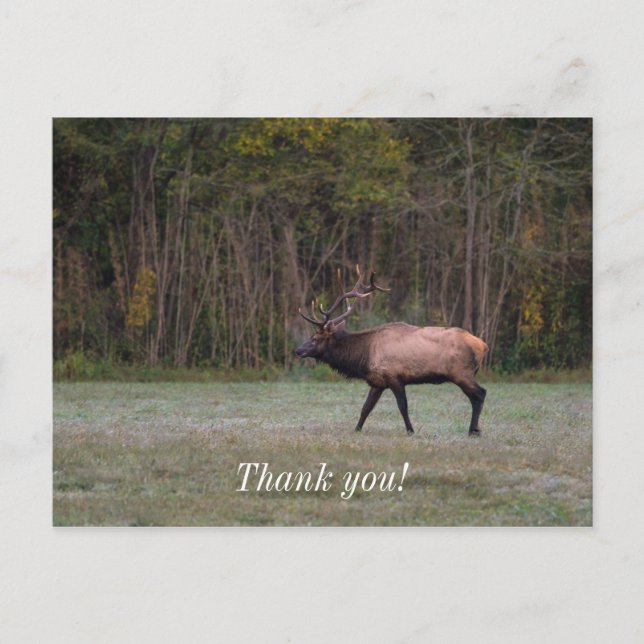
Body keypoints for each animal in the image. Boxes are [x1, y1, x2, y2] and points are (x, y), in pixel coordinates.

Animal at [295, 267, 488, 436]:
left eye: (315, 338)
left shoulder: (394, 377)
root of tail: (483, 345)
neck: (364, 356)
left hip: (460, 372)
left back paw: (473, 430)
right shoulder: (377, 382)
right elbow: (365, 408)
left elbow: (403, 406)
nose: (298, 350)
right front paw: (356, 429)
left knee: (480, 394)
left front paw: (411, 431)